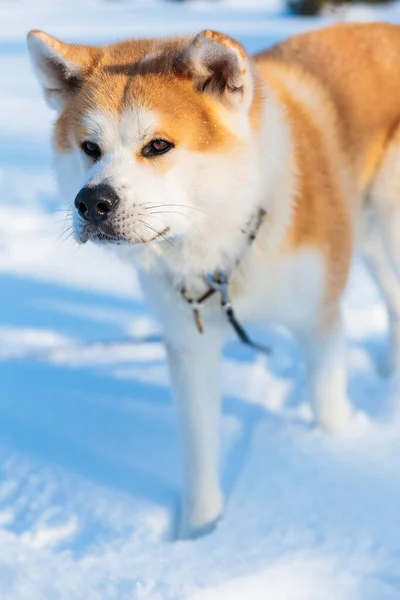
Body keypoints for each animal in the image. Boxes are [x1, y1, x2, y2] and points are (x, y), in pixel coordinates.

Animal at [27, 22, 400, 540]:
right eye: (89, 148)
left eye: (158, 145)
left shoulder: (319, 324)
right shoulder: (190, 346)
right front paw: (200, 538)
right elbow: (199, 454)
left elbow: (328, 411)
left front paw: (329, 457)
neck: (226, 246)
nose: (91, 203)